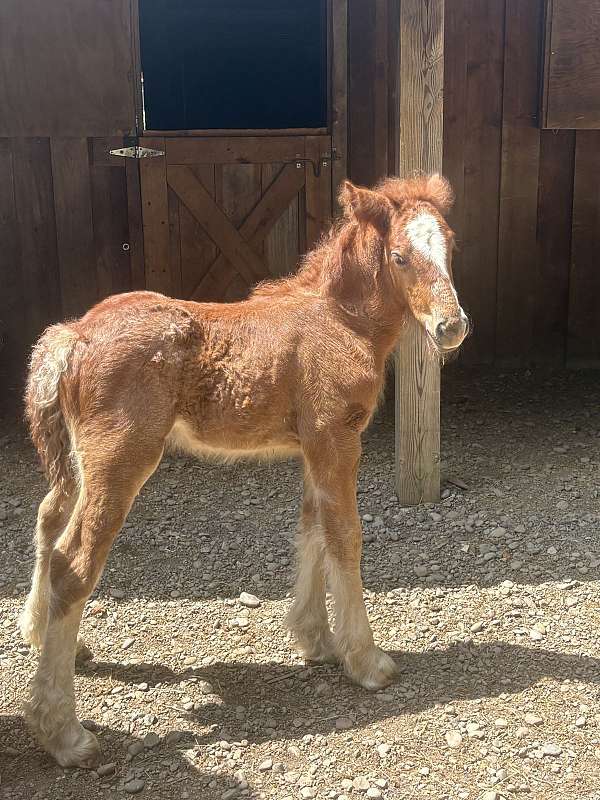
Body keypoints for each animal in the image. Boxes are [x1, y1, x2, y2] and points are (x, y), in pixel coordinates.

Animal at [20, 174, 468, 768]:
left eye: (450, 246)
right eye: (399, 256)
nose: (452, 326)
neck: (339, 320)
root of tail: (74, 335)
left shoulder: (313, 444)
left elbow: (312, 527)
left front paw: (316, 640)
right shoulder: (336, 436)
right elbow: (345, 535)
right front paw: (368, 661)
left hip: (77, 460)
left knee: (48, 519)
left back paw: (45, 635)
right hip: (119, 459)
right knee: (74, 562)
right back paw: (63, 733)